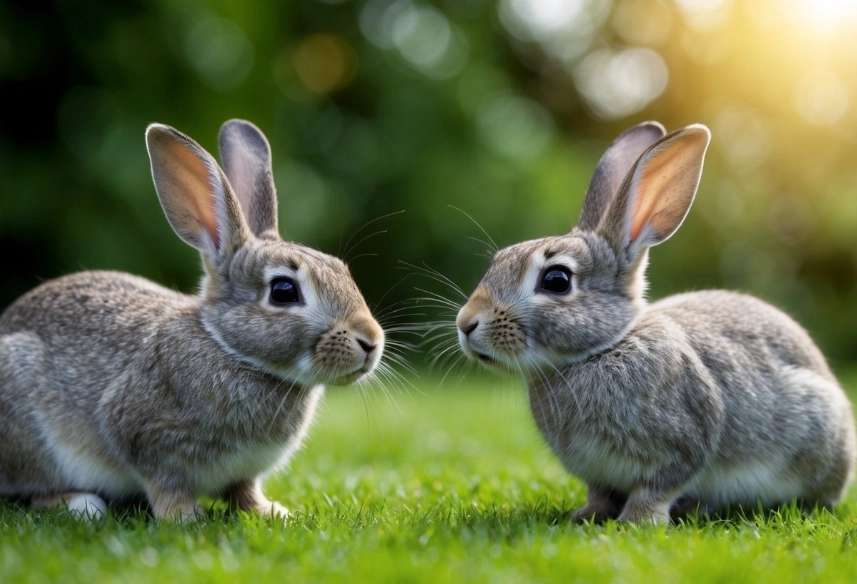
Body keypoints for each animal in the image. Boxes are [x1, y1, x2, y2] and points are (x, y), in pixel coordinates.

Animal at [0, 119, 385, 520]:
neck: (229, 348)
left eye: (342, 269)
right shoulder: (142, 435)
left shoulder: (244, 471)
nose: (371, 341)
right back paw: (81, 503)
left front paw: (269, 511)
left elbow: (245, 490)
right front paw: (185, 516)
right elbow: (164, 483)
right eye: (283, 291)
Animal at [455, 121, 856, 524]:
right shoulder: (598, 473)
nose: (465, 323)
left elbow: (657, 487)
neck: (604, 348)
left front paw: (636, 521)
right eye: (498, 260)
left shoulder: (684, 444)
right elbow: (600, 493)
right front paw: (587, 515)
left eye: (557, 280)